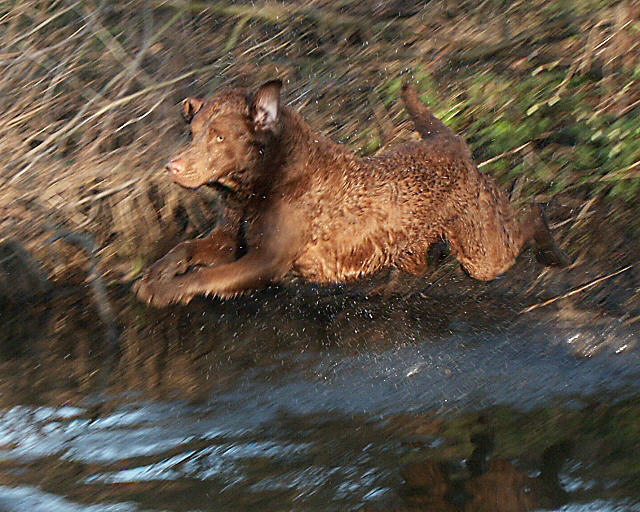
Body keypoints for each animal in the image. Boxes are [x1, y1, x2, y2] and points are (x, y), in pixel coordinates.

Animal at [134, 78, 564, 306]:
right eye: (192, 134)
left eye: (220, 137)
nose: (172, 167)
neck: (259, 185)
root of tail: (449, 141)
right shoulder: (229, 240)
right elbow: (186, 248)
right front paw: (156, 272)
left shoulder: (266, 260)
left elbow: (207, 277)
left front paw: (164, 289)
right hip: (417, 248)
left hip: (480, 253)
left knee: (528, 215)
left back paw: (552, 252)